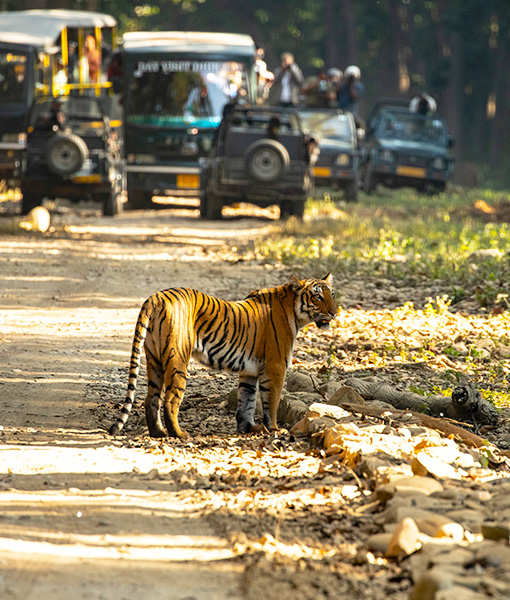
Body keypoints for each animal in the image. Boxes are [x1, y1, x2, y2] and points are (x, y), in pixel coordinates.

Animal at [109, 274, 336, 438]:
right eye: (317, 296)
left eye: (332, 294)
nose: (334, 312)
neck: (294, 312)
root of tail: (155, 297)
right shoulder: (276, 367)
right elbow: (271, 402)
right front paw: (273, 430)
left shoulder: (249, 372)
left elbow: (247, 401)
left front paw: (248, 429)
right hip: (177, 360)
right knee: (170, 400)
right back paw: (179, 434)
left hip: (154, 359)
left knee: (151, 400)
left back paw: (158, 433)